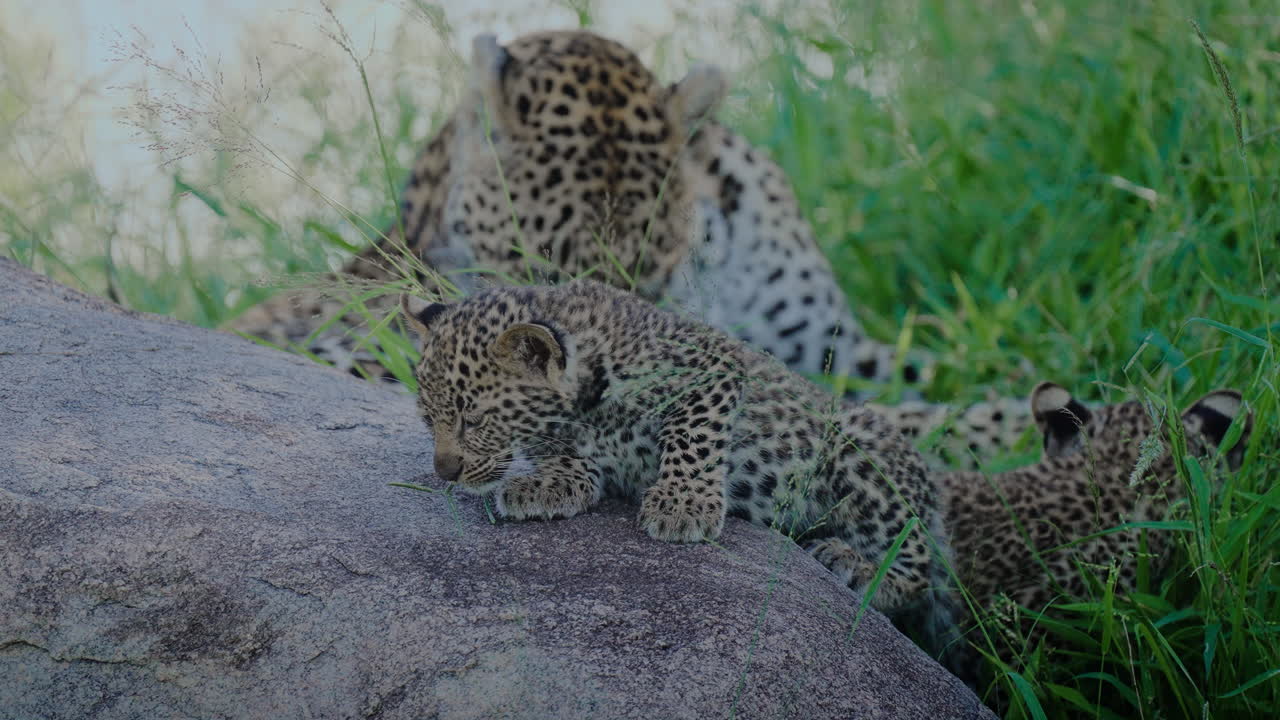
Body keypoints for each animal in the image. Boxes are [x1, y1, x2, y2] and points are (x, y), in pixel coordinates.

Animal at [227, 29, 1040, 470]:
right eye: (542, 282)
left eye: (648, 274)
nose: (599, 401)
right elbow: (878, 419)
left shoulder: (829, 340)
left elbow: (945, 370)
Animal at [396, 278, 955, 627]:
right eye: (428, 418)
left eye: (474, 420)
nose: (445, 472)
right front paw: (549, 482)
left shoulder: (714, 368)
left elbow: (693, 434)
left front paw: (683, 505)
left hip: (860, 453)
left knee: (919, 569)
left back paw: (853, 564)